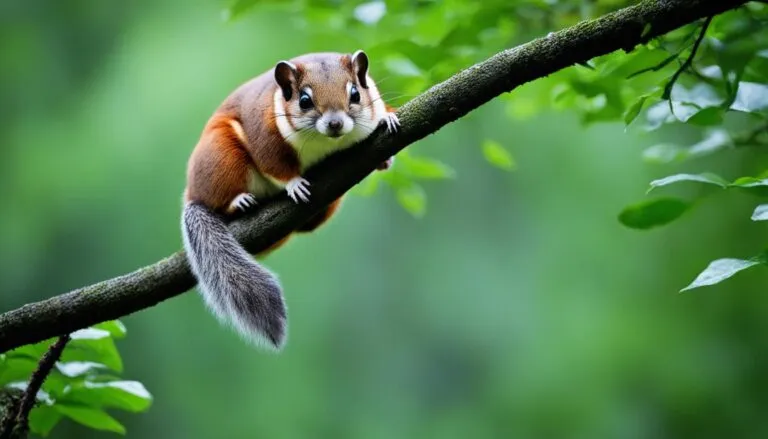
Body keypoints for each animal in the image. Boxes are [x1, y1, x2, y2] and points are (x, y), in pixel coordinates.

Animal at [181, 50, 399, 351]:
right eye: (304, 100)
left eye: (356, 93)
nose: (335, 123)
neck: (326, 143)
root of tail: (190, 194)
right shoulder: (265, 135)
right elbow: (275, 166)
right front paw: (294, 184)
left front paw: (387, 122)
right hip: (221, 156)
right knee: (218, 200)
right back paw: (238, 202)